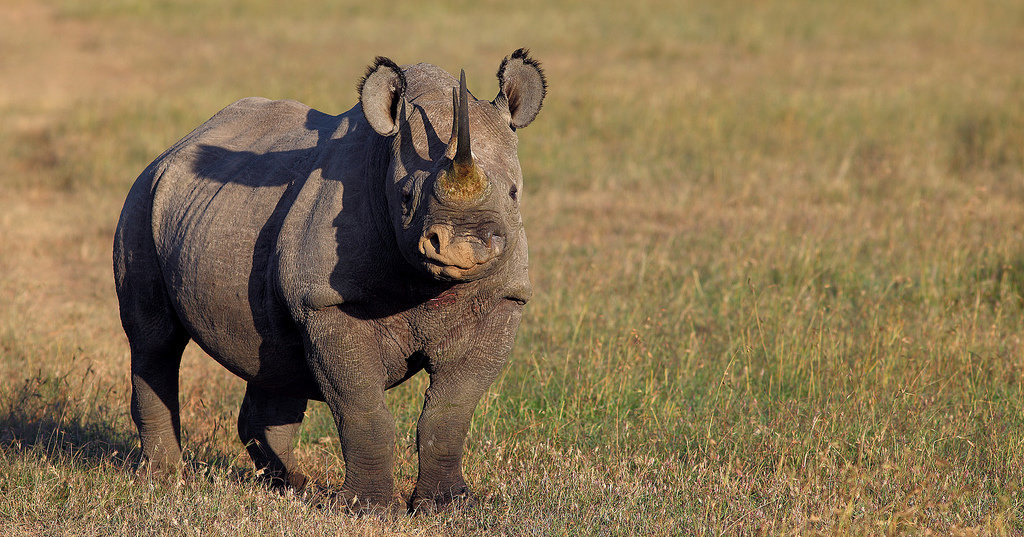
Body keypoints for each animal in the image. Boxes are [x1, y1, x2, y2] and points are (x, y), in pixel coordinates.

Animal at [111, 47, 544, 512]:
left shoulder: (503, 299)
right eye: (406, 197)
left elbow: (451, 412)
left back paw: (290, 486)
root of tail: (175, 148)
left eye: (513, 193)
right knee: (154, 341)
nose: (462, 247)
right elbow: (362, 410)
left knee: (276, 358)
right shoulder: (326, 302)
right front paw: (369, 509)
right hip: (142, 199)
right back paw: (165, 480)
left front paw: (448, 505)